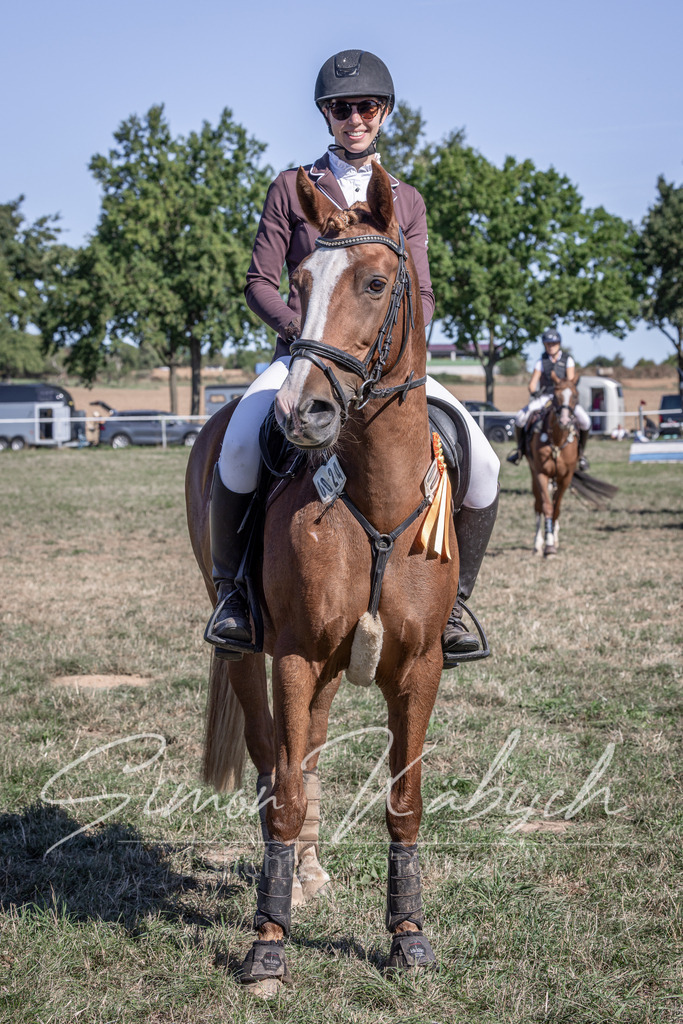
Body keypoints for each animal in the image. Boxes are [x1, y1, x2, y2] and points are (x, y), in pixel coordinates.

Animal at [185, 162, 459, 994]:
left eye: (375, 283)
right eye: (299, 281)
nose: (298, 413)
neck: (375, 500)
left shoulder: (419, 667)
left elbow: (403, 802)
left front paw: (407, 938)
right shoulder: (296, 656)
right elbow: (281, 789)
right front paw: (267, 947)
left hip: (336, 668)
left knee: (304, 756)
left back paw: (308, 872)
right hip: (253, 653)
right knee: (273, 760)